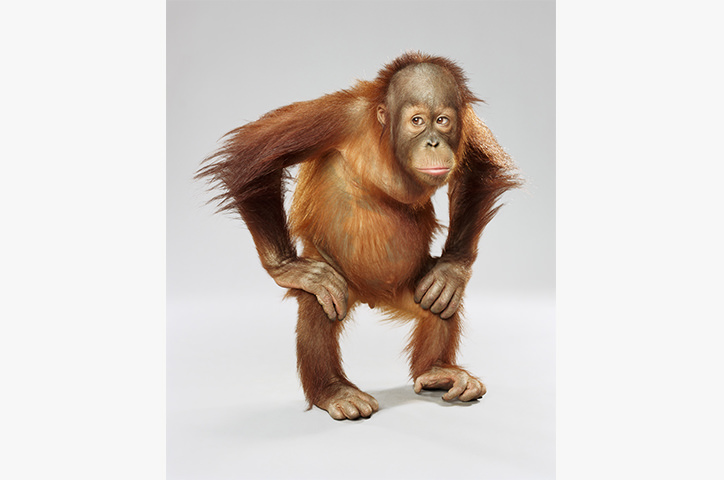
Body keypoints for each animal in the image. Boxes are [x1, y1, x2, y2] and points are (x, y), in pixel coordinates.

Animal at [197, 52, 520, 420]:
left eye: (442, 120)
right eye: (417, 121)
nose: (433, 142)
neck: (385, 143)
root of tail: (371, 297)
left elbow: (480, 169)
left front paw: (451, 269)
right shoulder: (340, 117)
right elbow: (249, 160)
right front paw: (287, 269)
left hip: (410, 286)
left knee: (439, 305)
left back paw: (438, 370)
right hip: (340, 285)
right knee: (318, 304)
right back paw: (334, 391)